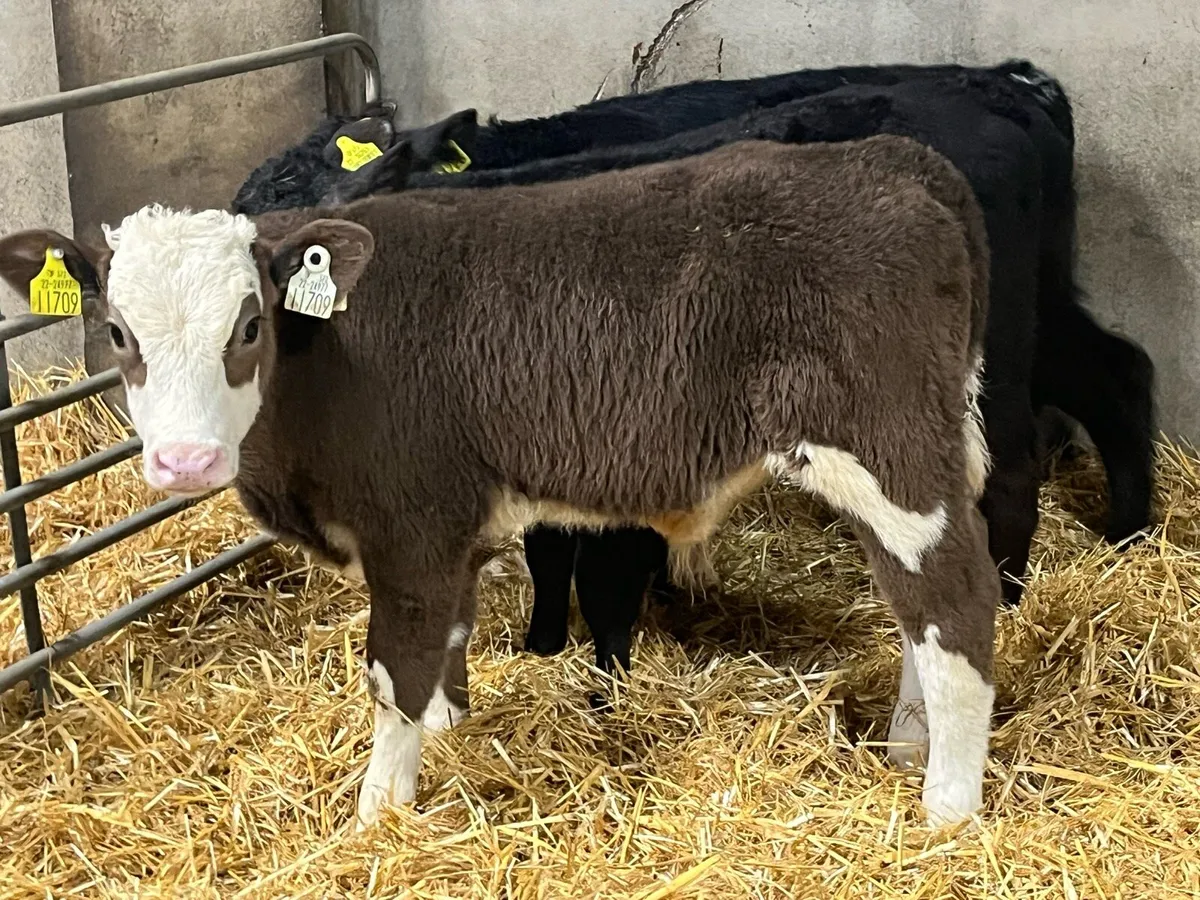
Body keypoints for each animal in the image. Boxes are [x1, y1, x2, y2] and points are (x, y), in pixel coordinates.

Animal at [2, 135, 1000, 828]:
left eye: (249, 326)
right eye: (118, 333)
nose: (184, 461)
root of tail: (888, 159)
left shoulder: (410, 526)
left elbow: (394, 667)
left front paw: (380, 811)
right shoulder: (454, 528)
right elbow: (448, 638)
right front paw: (448, 731)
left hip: (893, 456)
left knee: (955, 604)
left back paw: (946, 807)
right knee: (917, 612)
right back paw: (909, 745)